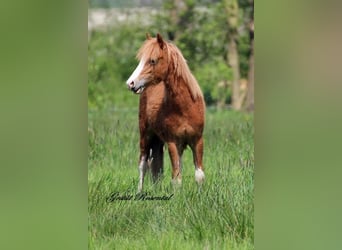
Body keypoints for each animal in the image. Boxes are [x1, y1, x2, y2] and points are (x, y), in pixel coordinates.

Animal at [126, 34, 204, 192]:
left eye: (152, 60)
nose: (130, 83)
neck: (185, 108)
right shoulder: (173, 142)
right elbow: (176, 178)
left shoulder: (197, 140)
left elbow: (198, 176)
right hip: (145, 135)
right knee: (143, 164)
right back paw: (139, 192)